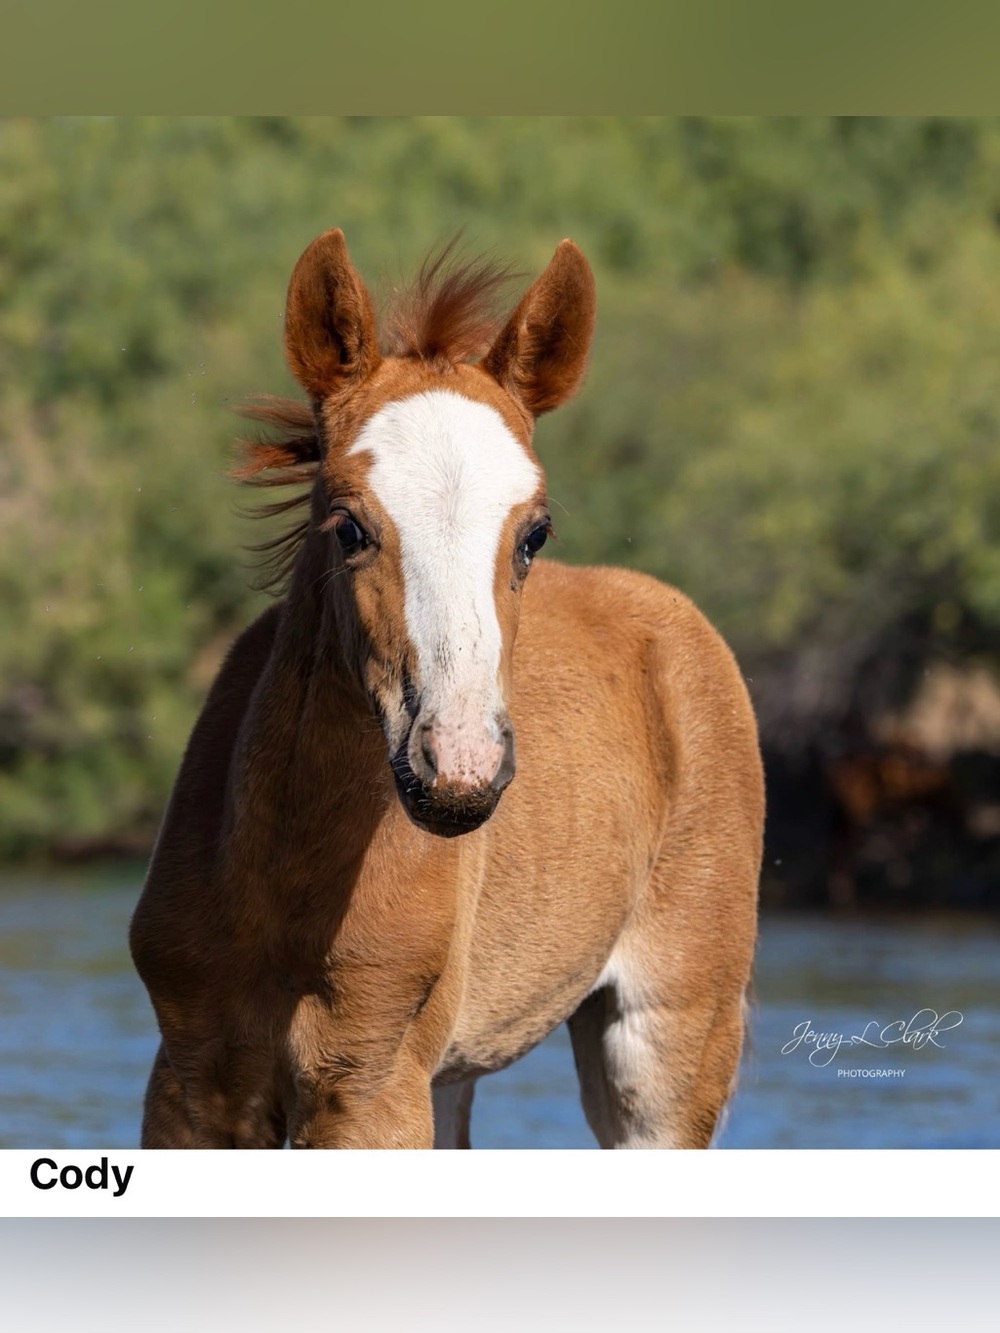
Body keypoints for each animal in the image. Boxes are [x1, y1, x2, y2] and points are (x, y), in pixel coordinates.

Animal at [129, 228, 764, 1149]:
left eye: (535, 533)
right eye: (349, 524)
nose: (459, 765)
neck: (287, 882)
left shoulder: (373, 1089)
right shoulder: (193, 1086)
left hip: (666, 1045)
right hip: (453, 1075)